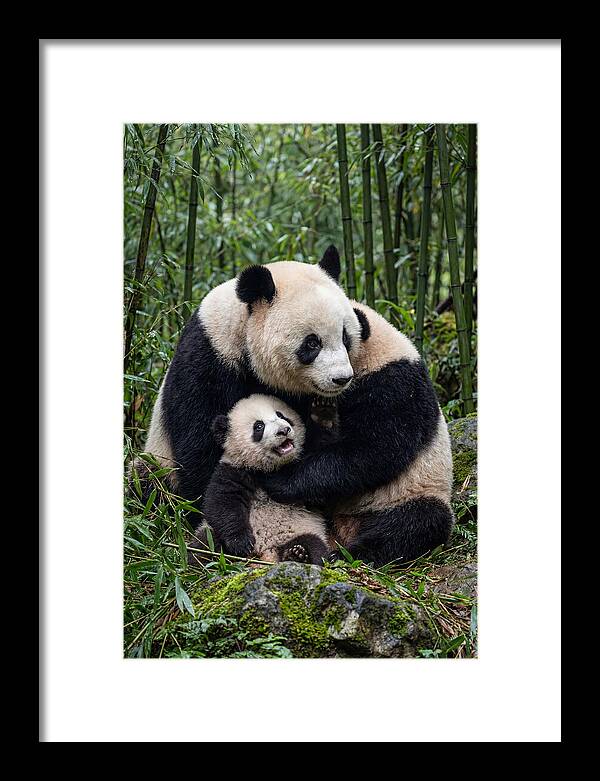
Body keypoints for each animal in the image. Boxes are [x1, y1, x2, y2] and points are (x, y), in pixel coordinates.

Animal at [187, 394, 330, 566]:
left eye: (281, 415)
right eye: (259, 426)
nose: (284, 430)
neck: (267, 467)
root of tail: (266, 553)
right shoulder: (233, 470)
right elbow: (222, 503)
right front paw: (241, 543)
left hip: (301, 530)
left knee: (314, 545)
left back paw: (298, 555)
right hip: (209, 532)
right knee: (204, 544)